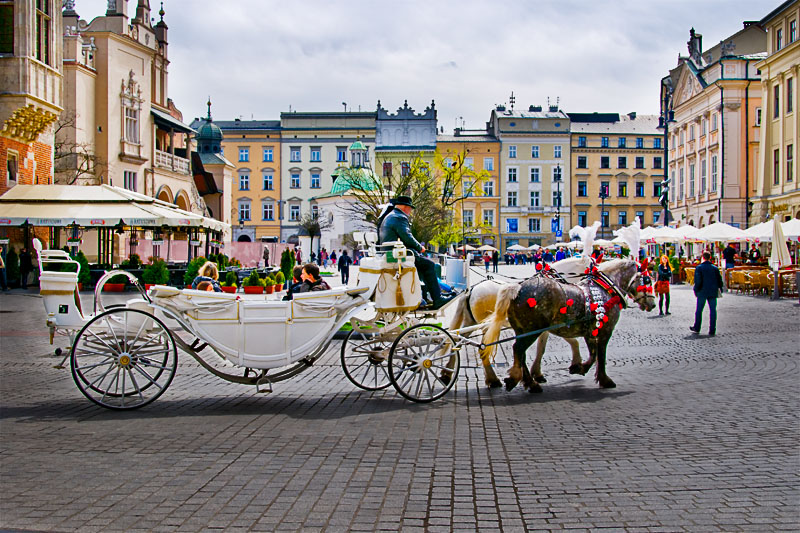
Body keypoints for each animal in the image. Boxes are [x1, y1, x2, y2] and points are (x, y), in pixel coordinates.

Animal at [478, 260, 652, 392]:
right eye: (648, 280)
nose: (653, 304)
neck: (606, 288)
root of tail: (518, 287)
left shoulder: (590, 331)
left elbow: (592, 353)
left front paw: (578, 367)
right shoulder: (605, 330)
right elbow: (600, 355)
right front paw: (601, 378)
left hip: (523, 330)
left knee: (521, 353)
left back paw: (530, 383)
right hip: (531, 329)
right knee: (518, 350)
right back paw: (515, 379)